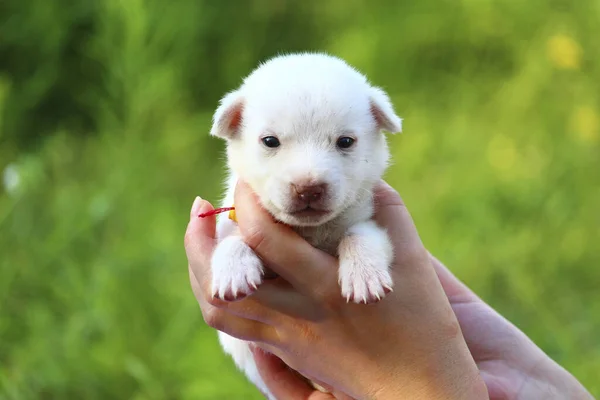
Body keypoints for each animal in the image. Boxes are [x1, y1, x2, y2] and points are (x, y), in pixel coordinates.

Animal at [209, 54, 400, 400]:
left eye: (345, 141)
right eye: (270, 141)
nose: (308, 188)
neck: (308, 232)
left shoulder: (368, 221)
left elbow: (359, 236)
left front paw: (364, 277)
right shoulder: (234, 221)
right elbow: (232, 241)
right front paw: (233, 270)